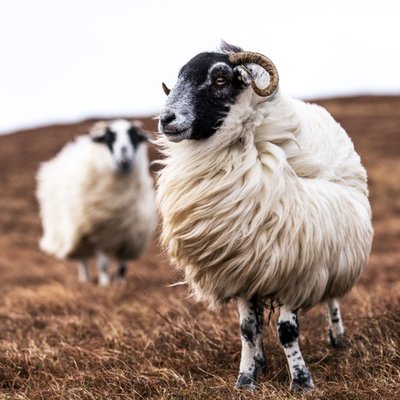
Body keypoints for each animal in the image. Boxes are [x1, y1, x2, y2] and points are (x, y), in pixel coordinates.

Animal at [155, 43, 374, 390]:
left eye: (219, 79)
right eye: (179, 77)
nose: (166, 119)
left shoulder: (295, 265)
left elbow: (287, 331)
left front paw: (301, 381)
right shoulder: (243, 266)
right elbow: (247, 329)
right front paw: (246, 379)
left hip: (333, 250)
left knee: (332, 298)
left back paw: (337, 338)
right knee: (257, 321)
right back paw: (261, 361)